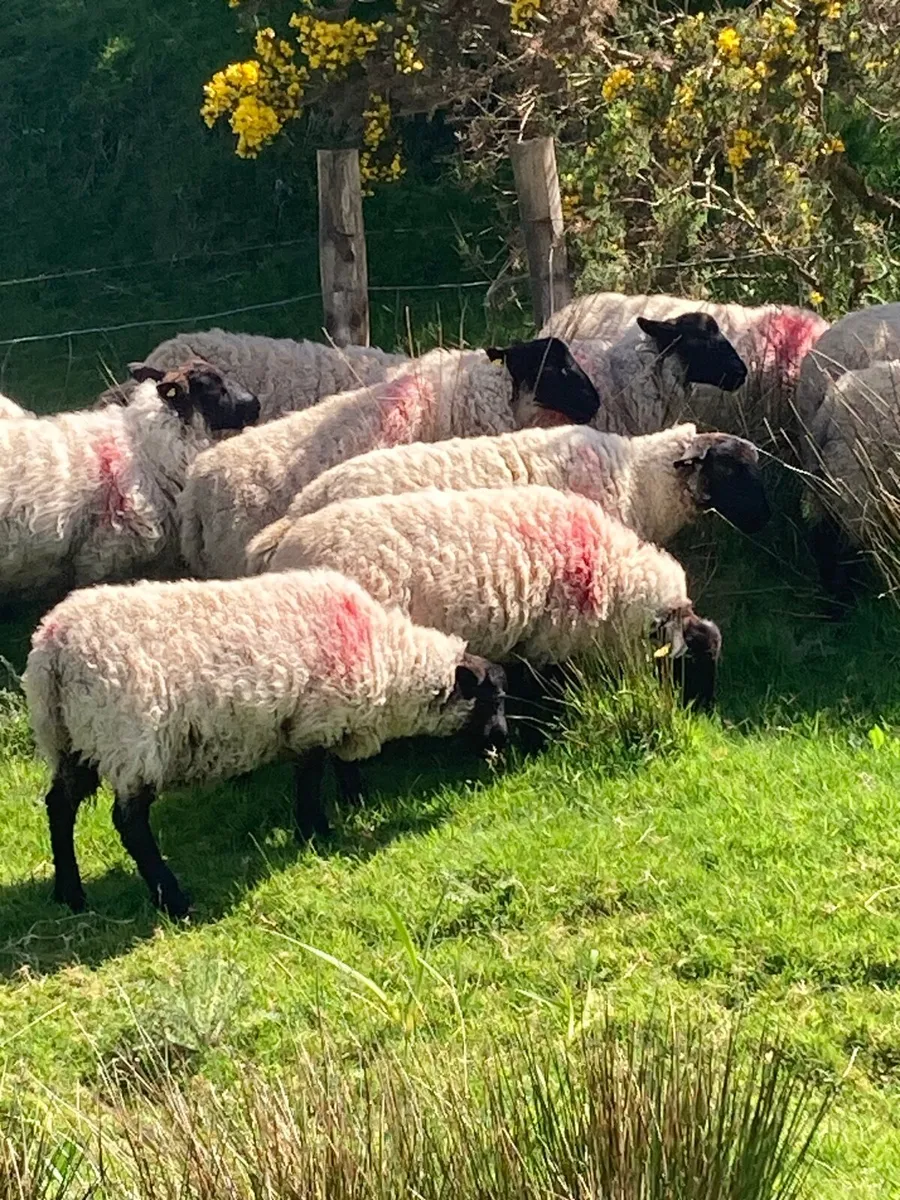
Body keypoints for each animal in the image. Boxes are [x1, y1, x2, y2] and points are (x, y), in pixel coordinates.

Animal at [24, 568, 508, 917]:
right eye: (493, 698)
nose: (502, 741)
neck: (388, 656)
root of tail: (54, 647)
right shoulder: (317, 719)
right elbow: (311, 779)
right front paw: (317, 831)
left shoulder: (331, 722)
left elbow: (340, 767)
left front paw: (354, 802)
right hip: (130, 740)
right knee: (130, 823)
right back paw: (173, 899)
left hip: (71, 740)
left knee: (59, 806)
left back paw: (70, 893)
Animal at [255, 485, 722, 709]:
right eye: (693, 664)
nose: (704, 711)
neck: (612, 574)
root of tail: (287, 544)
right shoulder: (550, 641)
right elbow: (544, 690)